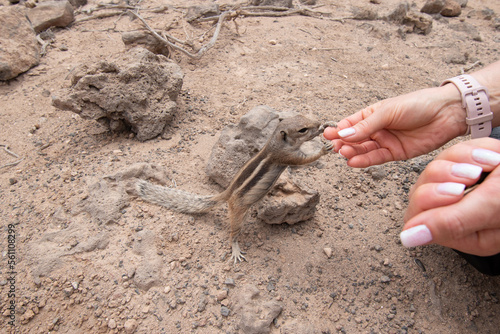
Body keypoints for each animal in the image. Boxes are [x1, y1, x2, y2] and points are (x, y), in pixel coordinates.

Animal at [135, 115, 334, 264]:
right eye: (302, 130)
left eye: (304, 117)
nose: (317, 123)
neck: (277, 143)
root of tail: (227, 194)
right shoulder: (287, 157)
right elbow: (305, 160)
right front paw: (324, 149)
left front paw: (327, 124)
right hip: (238, 214)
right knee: (233, 234)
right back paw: (235, 249)